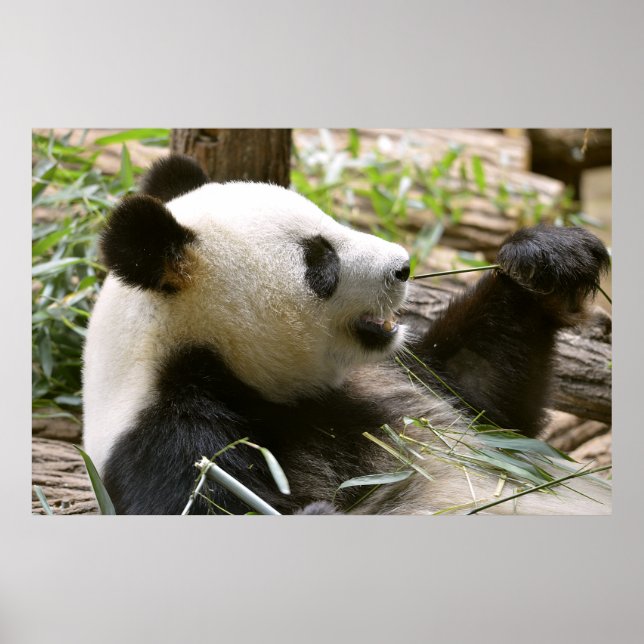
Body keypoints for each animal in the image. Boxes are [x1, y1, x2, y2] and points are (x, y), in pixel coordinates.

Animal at [82, 154, 611, 515]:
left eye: (332, 219)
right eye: (321, 262)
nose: (403, 266)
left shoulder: (395, 378)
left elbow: (488, 398)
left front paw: (547, 257)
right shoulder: (169, 440)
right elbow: (209, 500)